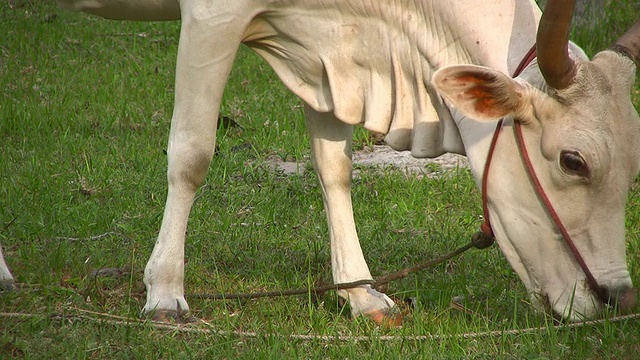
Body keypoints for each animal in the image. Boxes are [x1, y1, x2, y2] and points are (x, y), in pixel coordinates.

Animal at [1, 0, 640, 324]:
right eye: (574, 161)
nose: (617, 300)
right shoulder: (211, 14)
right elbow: (191, 153)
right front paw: (163, 290)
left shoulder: (332, 55)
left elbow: (335, 168)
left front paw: (360, 295)